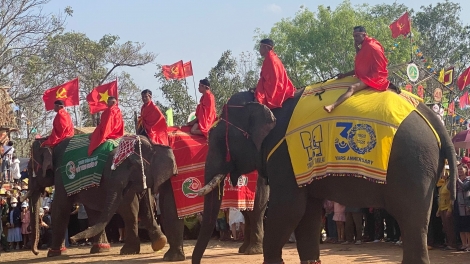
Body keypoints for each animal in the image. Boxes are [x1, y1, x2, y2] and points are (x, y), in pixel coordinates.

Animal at [28, 136, 177, 258]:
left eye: (30, 169)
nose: (36, 252)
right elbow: (93, 210)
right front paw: (101, 249)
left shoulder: (61, 177)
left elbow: (60, 207)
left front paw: (53, 253)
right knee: (145, 208)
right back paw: (159, 243)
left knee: (129, 211)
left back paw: (128, 250)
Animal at [191, 87, 456, 264]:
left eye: (216, 139)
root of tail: (432, 117)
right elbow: (307, 214)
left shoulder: (284, 157)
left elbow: (287, 210)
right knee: (416, 222)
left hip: (413, 165)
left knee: (411, 220)